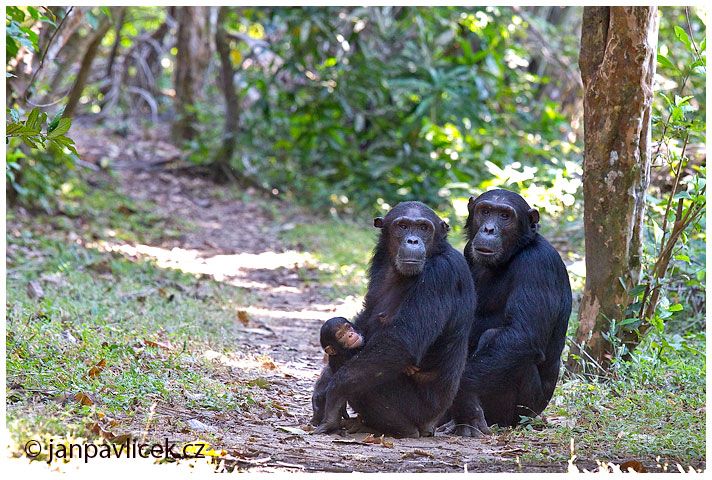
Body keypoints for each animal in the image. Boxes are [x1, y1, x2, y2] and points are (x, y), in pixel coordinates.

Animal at [312, 201, 476, 436]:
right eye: (403, 226)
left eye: (424, 228)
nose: (413, 240)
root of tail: (432, 424)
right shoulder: (380, 264)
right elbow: (367, 315)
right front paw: (321, 390)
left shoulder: (441, 274)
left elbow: (401, 341)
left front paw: (333, 394)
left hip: (418, 410)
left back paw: (399, 429)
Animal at [448, 189, 576, 436]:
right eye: (485, 211)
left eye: (505, 216)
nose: (489, 229)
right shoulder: (468, 251)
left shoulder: (538, 265)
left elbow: (523, 334)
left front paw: (464, 399)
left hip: (525, 409)